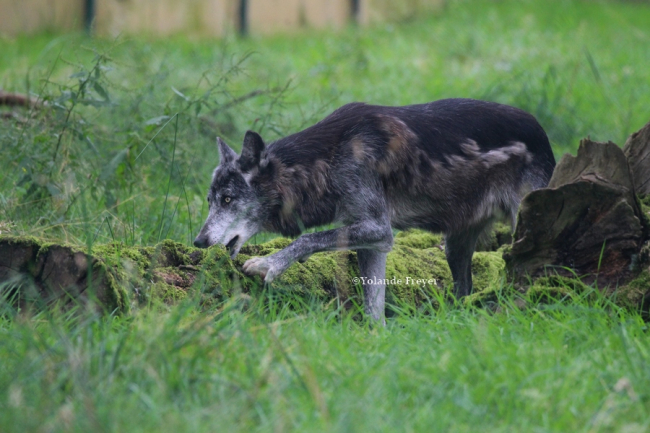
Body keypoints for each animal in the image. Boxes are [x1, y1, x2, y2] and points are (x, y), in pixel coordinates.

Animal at [192, 98, 552, 320]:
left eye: (228, 199)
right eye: (210, 201)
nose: (198, 242)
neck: (330, 157)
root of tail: (541, 130)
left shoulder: (379, 229)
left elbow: (308, 239)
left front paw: (268, 264)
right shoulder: (374, 242)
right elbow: (374, 309)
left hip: (523, 228)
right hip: (454, 246)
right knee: (464, 290)